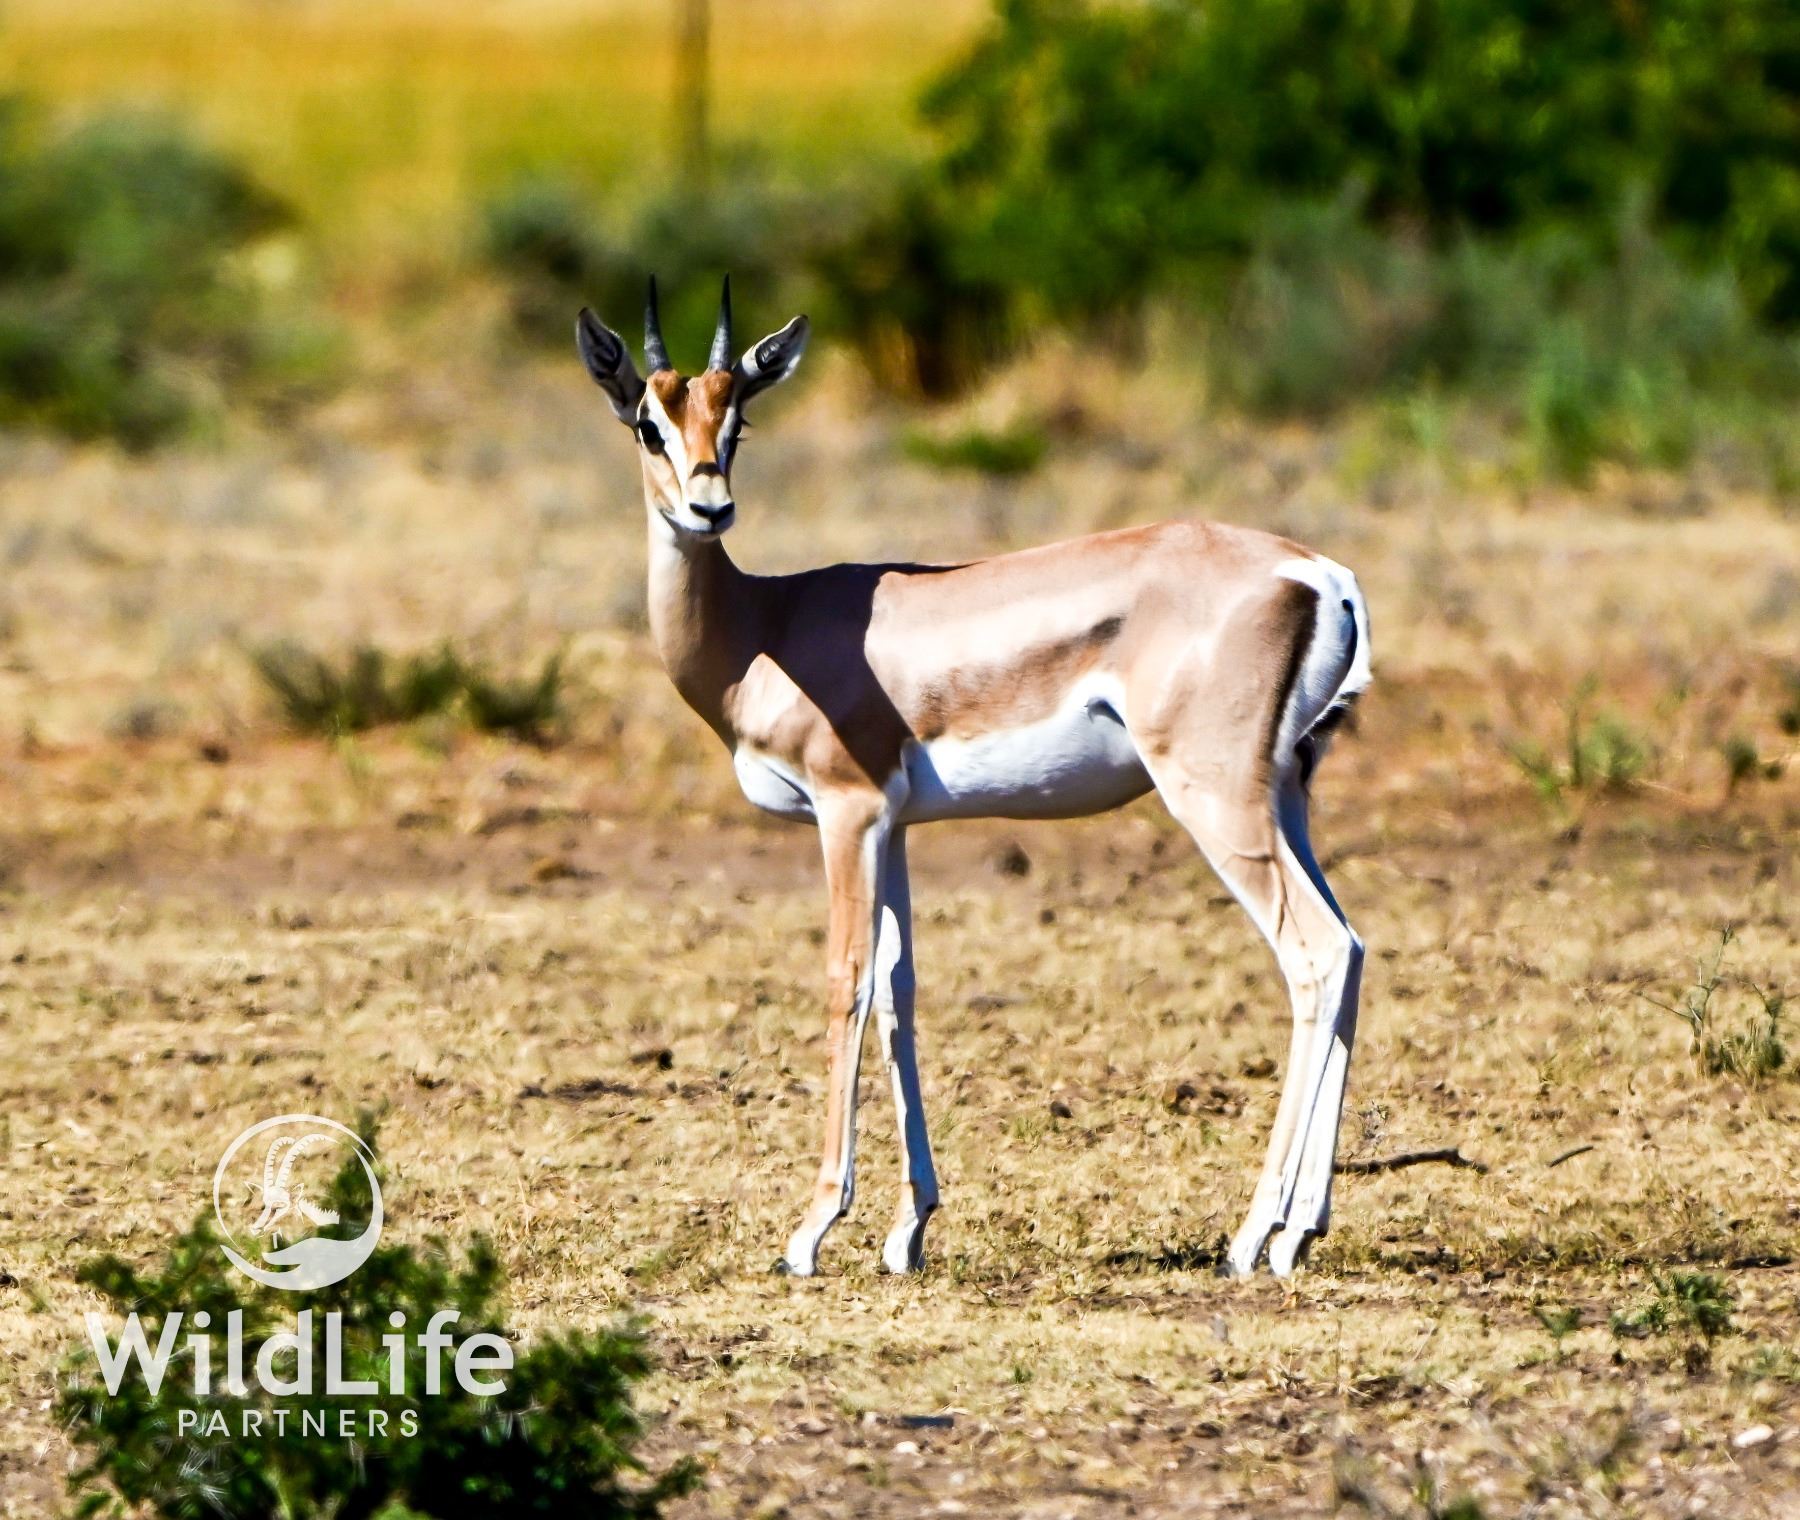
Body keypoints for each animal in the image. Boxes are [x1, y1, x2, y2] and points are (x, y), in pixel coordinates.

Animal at [575, 278, 1370, 1279]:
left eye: (738, 418)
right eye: (650, 422)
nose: (709, 507)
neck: (763, 625)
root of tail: (1318, 574)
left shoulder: (846, 812)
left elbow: (846, 981)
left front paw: (811, 1230)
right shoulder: (895, 826)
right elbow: (899, 992)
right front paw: (906, 1230)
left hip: (1217, 801)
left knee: (1315, 953)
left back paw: (1254, 1232)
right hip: (1286, 798)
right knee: (1353, 949)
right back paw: (1302, 1228)